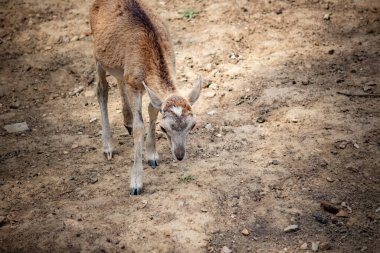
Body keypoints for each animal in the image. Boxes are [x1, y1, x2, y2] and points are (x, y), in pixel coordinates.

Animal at [90, 0, 202, 196]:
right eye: (164, 128)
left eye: (193, 125)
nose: (180, 155)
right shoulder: (134, 85)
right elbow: (139, 127)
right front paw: (136, 184)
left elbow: (152, 111)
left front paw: (153, 156)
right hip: (97, 56)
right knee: (101, 89)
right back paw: (108, 147)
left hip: (120, 67)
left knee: (119, 80)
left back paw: (126, 122)